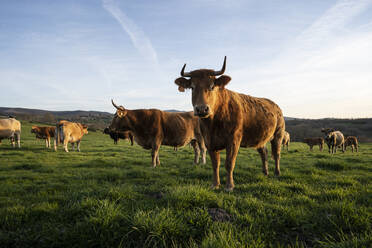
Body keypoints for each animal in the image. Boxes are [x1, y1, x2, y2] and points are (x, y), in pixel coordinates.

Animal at [174, 56, 284, 192]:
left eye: (212, 86)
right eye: (192, 87)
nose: (202, 109)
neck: (213, 123)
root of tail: (276, 106)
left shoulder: (233, 140)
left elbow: (229, 163)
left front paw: (229, 186)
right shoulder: (209, 141)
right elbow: (215, 164)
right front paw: (215, 184)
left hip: (278, 134)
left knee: (277, 153)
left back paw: (277, 172)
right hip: (260, 137)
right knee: (264, 152)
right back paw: (265, 172)